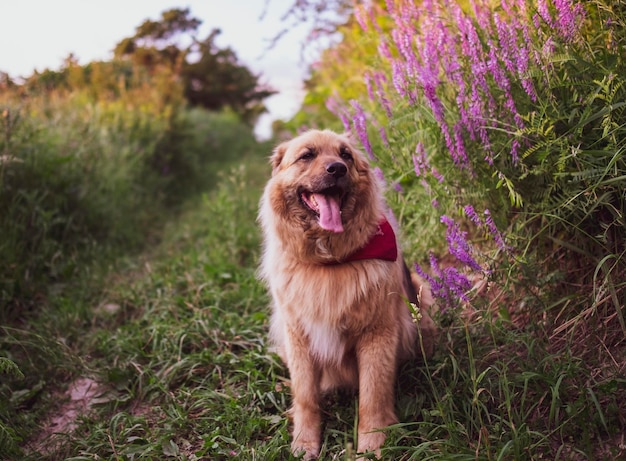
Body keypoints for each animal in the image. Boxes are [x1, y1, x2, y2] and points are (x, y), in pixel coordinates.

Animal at [258, 128, 434, 456]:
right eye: (307, 155)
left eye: (346, 156)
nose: (337, 169)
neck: (329, 262)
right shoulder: (298, 336)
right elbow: (306, 396)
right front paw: (304, 441)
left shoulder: (377, 335)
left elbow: (373, 396)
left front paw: (372, 443)